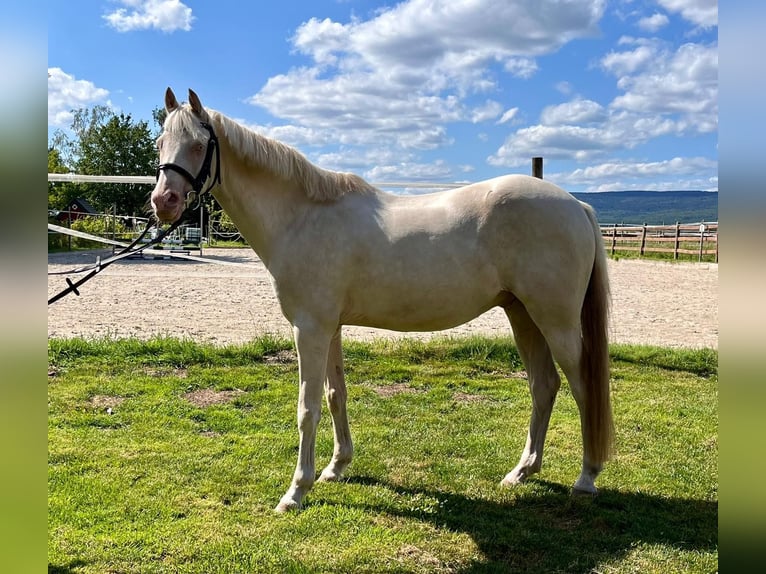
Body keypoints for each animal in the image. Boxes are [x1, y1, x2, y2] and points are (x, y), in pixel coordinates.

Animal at [152, 89, 616, 512]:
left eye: (198, 144)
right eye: (160, 143)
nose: (163, 201)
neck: (302, 216)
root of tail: (576, 204)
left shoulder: (310, 329)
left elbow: (307, 408)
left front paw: (296, 492)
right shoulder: (330, 327)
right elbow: (335, 395)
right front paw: (336, 467)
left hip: (555, 321)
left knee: (582, 387)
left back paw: (586, 477)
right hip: (523, 315)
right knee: (544, 385)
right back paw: (522, 471)